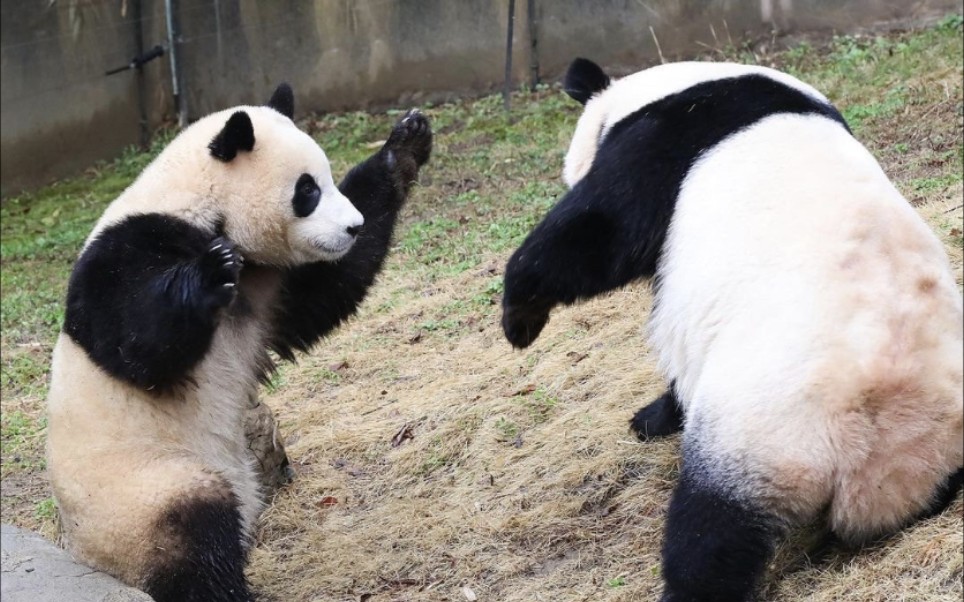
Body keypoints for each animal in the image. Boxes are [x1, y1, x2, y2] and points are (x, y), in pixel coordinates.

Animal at [47, 83, 432, 600]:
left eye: (328, 179)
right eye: (307, 190)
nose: (352, 226)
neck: (199, 203)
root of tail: (87, 557)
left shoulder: (269, 282)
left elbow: (326, 292)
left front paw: (406, 144)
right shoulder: (125, 249)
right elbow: (134, 345)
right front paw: (209, 272)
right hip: (135, 489)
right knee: (193, 529)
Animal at [504, 57, 964, 600]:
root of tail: (885, 435)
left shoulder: (663, 146)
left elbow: (596, 232)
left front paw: (520, 320)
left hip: (764, 430)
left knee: (714, 529)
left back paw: (690, 582)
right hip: (932, 451)